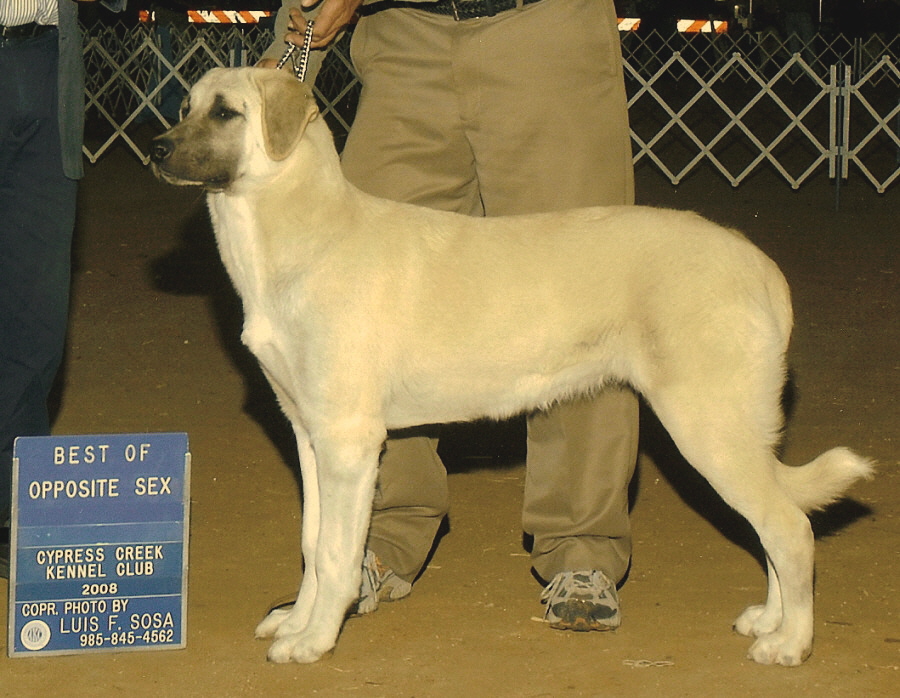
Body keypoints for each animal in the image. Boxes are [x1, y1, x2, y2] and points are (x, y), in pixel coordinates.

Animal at [151, 68, 876, 668]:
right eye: (184, 106)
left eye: (226, 112)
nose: (156, 149)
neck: (301, 233)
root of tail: (760, 266)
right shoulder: (307, 434)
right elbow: (311, 542)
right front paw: (297, 621)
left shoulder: (349, 443)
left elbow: (334, 554)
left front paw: (314, 640)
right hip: (730, 432)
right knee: (775, 526)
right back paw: (770, 621)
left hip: (708, 427)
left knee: (790, 529)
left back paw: (790, 643)